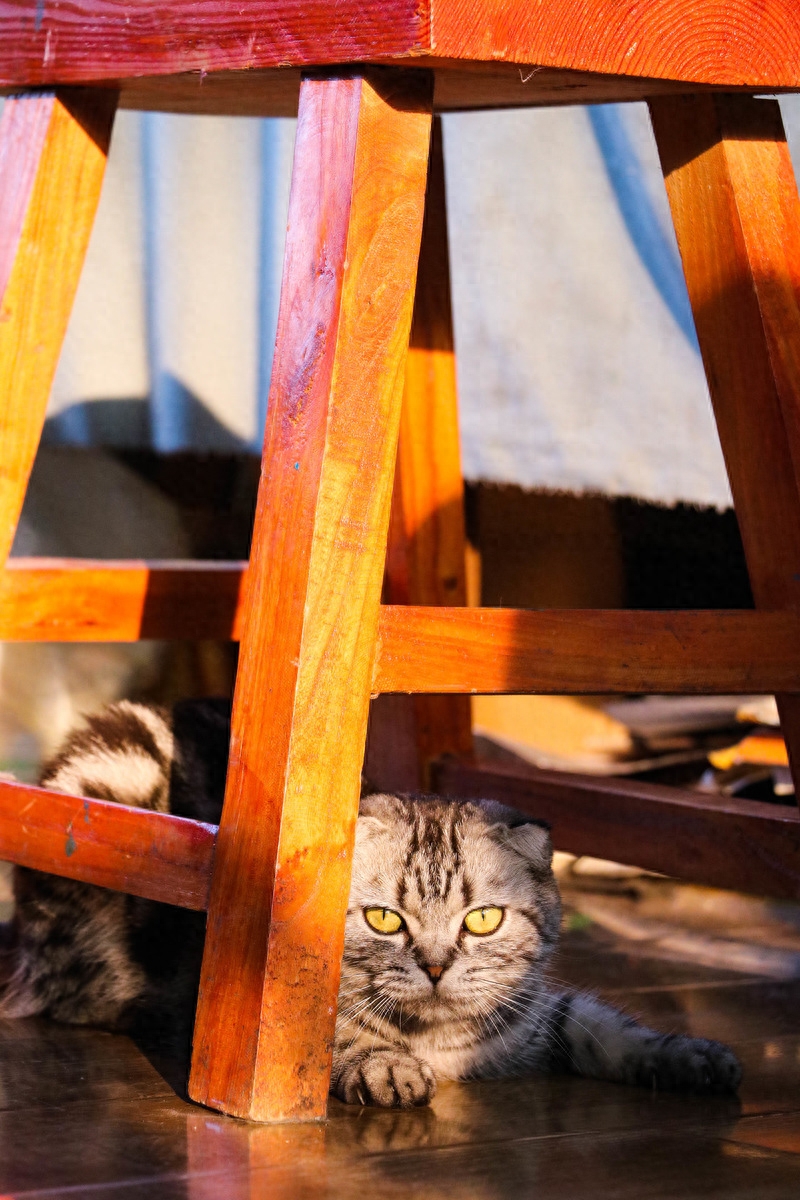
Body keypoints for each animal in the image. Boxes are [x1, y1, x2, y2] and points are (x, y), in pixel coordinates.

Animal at [0, 700, 743, 1104]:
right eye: (386, 919)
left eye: (484, 919)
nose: (437, 967)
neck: (444, 1045)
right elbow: (329, 1032)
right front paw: (383, 1064)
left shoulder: (540, 1010)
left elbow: (611, 1027)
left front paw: (692, 1056)